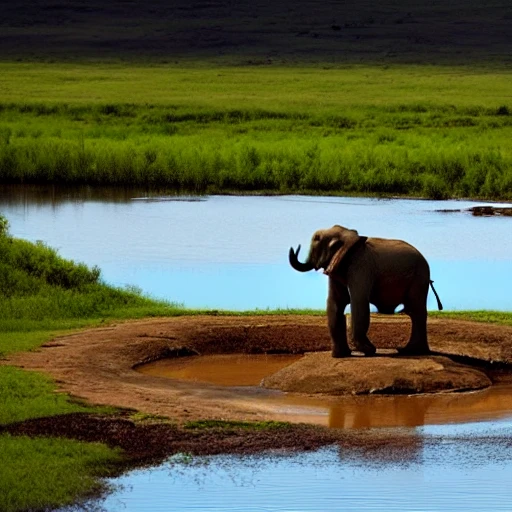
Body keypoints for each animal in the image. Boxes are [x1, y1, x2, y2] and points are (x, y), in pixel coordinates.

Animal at [290, 226, 442, 358]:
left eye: (316, 239)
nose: (294, 247)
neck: (346, 236)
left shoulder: (361, 267)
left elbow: (358, 300)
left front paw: (369, 351)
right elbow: (335, 303)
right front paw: (341, 356)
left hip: (419, 278)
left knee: (416, 311)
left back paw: (411, 351)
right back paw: (407, 350)